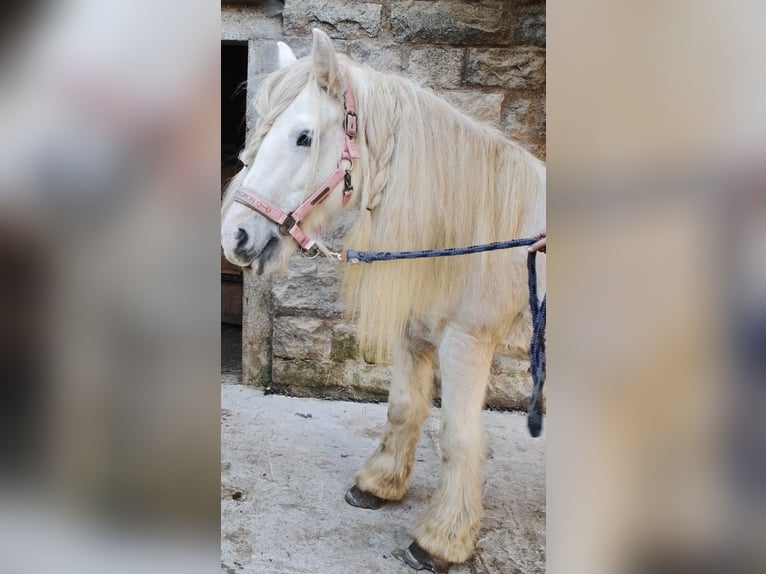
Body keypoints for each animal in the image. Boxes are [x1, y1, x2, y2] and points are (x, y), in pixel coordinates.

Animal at [221, 29, 546, 572]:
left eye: (304, 137)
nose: (235, 237)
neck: (470, 234)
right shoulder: (414, 333)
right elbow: (404, 407)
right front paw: (379, 484)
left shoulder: (467, 344)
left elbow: (459, 437)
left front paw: (441, 540)